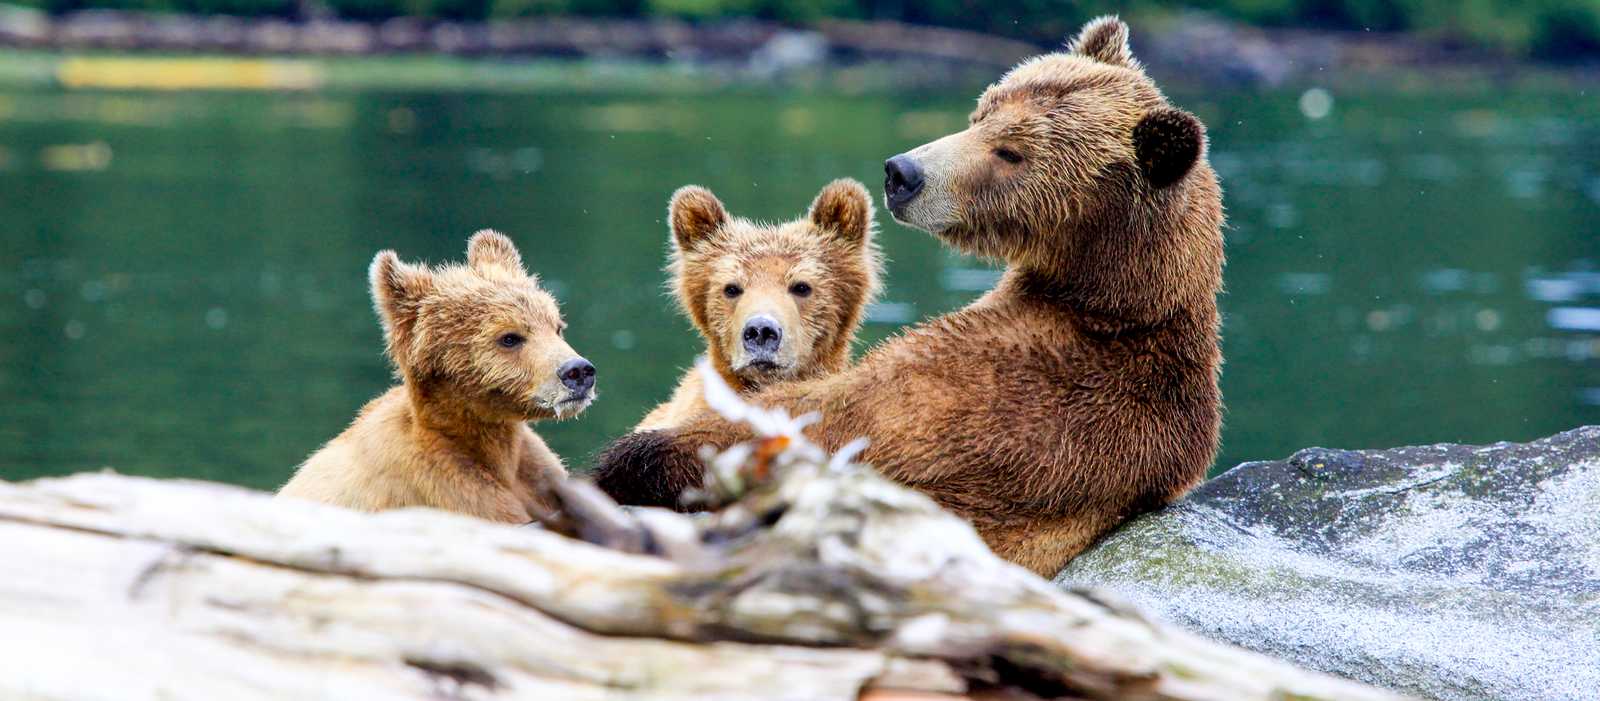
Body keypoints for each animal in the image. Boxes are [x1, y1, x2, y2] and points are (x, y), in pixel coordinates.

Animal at [595, 16, 1216, 579]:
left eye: (1010, 151)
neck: (1108, 300)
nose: (902, 172)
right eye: (982, 112)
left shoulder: (1000, 393)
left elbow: (824, 424)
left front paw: (634, 456)